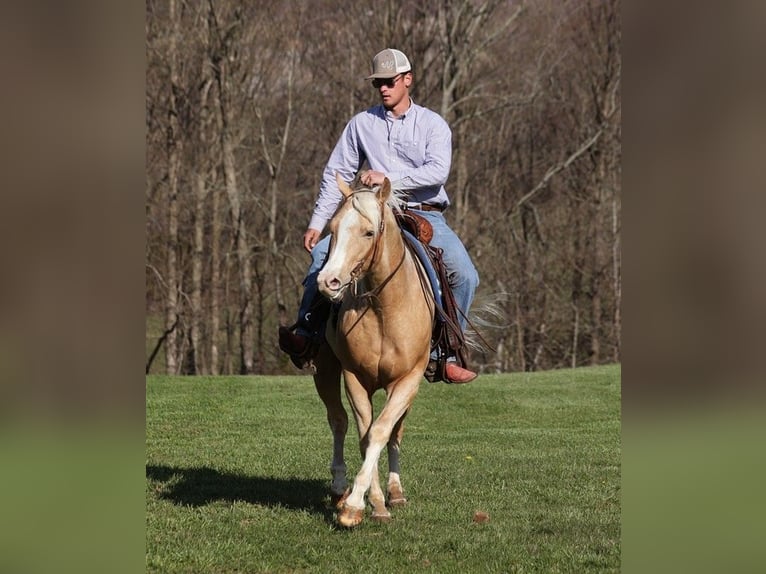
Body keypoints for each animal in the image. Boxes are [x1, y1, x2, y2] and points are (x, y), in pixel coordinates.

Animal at [310, 176, 432, 532]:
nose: (329, 281)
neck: (383, 307)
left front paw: (369, 501)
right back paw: (340, 487)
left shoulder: (408, 380)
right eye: (333, 228)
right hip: (325, 370)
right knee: (338, 421)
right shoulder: (355, 377)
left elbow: (381, 431)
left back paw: (395, 492)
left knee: (393, 433)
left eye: (367, 232)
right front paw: (363, 504)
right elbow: (365, 435)